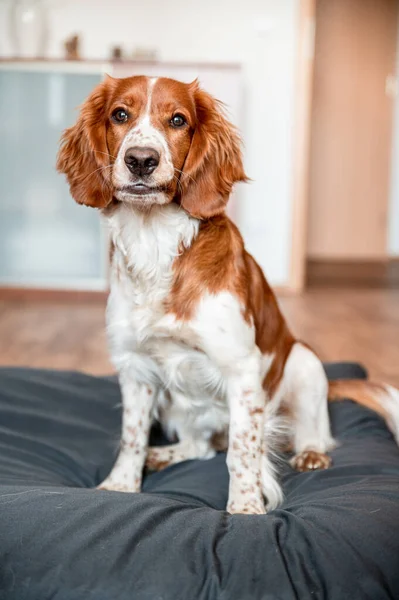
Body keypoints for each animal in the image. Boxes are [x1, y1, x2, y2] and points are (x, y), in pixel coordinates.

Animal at [56, 75, 399, 516]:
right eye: (119, 114)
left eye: (178, 120)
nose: (141, 160)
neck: (156, 246)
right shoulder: (135, 368)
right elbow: (132, 436)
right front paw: (120, 486)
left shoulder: (242, 371)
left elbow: (242, 451)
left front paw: (246, 509)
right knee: (201, 446)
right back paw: (162, 454)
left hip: (304, 363)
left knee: (311, 432)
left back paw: (310, 453)